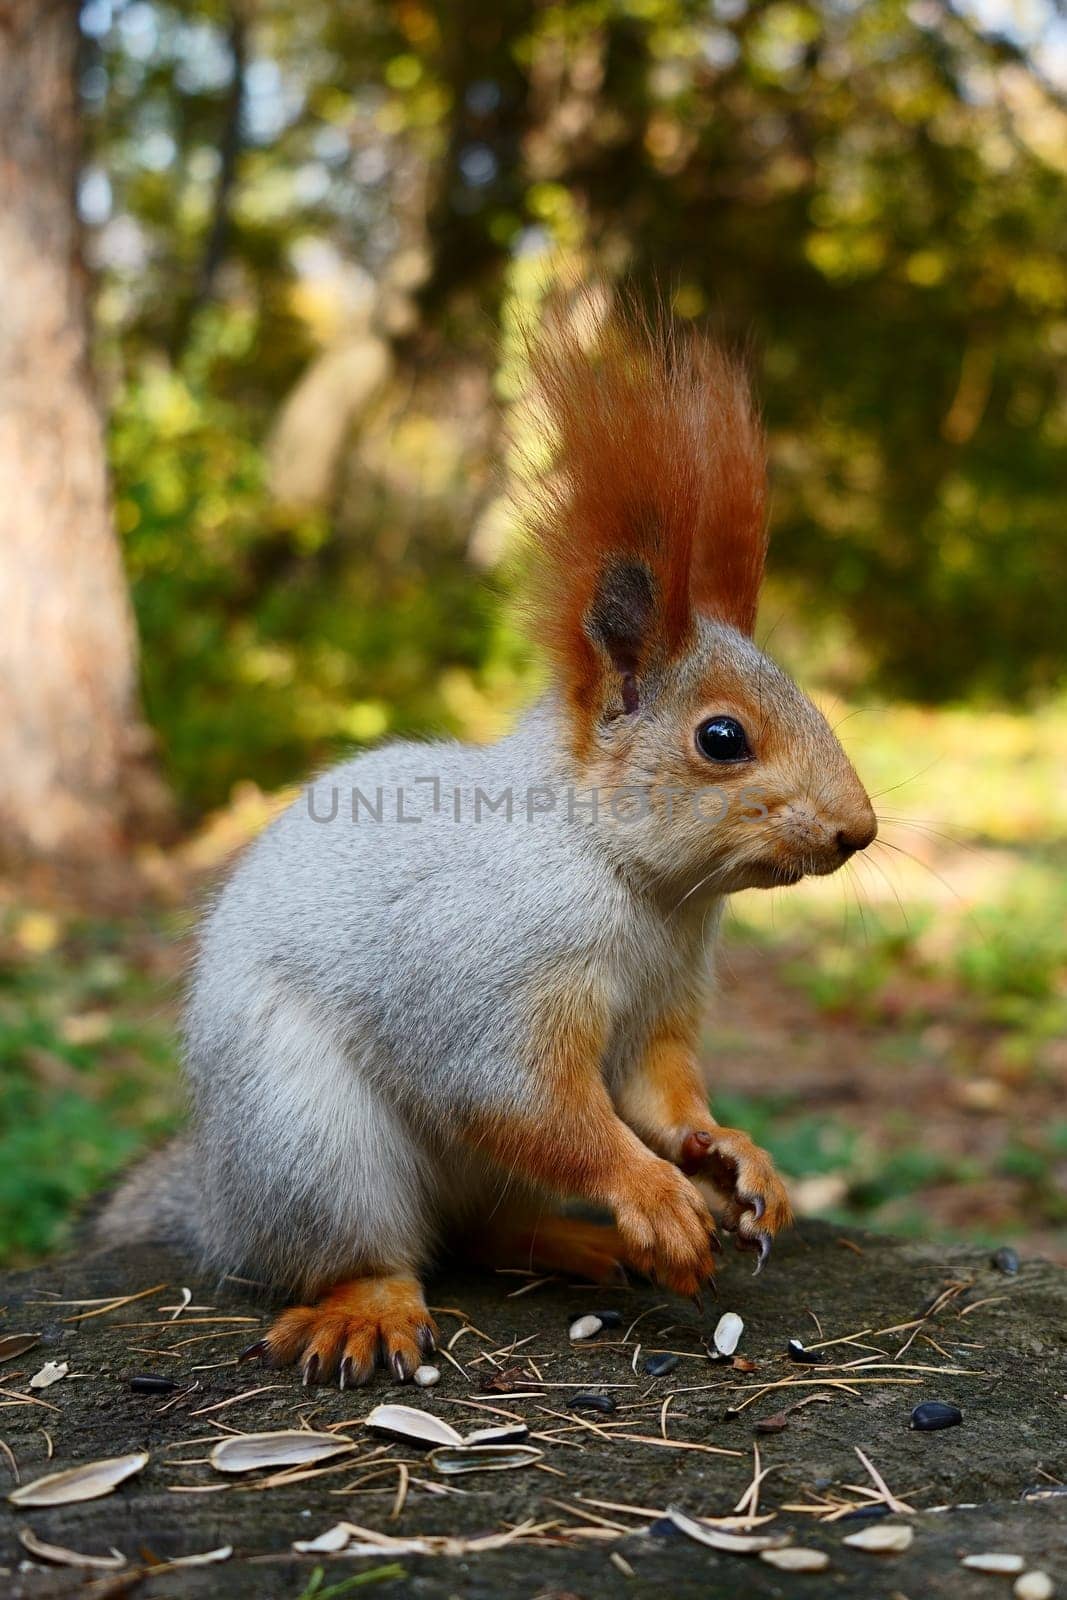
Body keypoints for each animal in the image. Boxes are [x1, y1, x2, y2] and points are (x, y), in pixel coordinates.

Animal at [97, 297, 876, 1388]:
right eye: (721, 738)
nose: (859, 829)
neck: (637, 887)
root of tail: (221, 1207)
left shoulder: (660, 1008)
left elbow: (660, 1092)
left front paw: (729, 1156)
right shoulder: (479, 973)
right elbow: (529, 1103)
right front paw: (652, 1192)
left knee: (481, 1231)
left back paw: (574, 1241)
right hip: (309, 1143)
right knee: (373, 1251)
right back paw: (374, 1306)